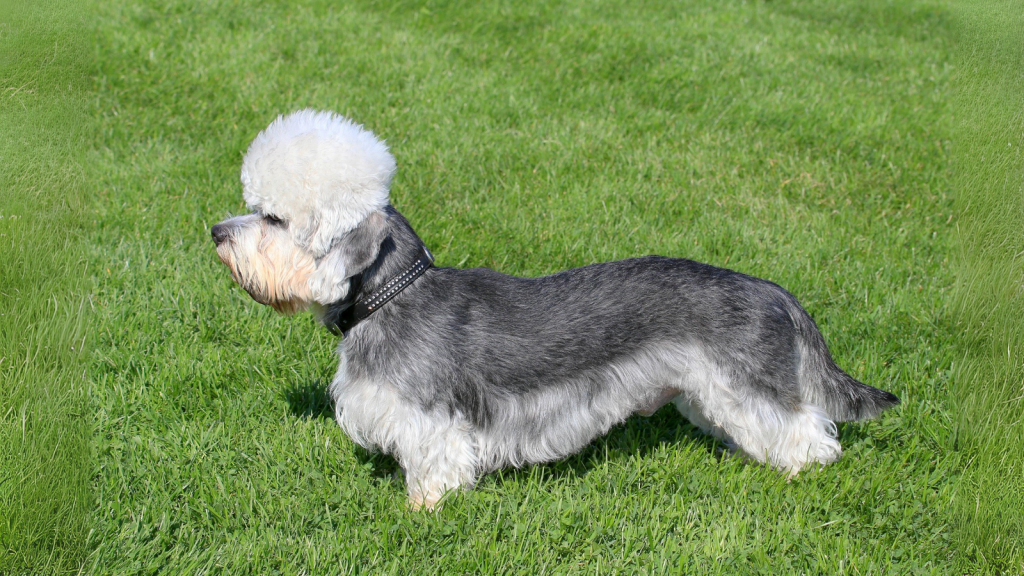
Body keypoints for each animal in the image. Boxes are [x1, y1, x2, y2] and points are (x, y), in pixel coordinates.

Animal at [211, 108, 901, 506]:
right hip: (708, 392)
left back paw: (799, 474)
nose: (216, 232)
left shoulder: (430, 423)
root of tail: (773, 290)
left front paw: (422, 512)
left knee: (810, 434)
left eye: (273, 219)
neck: (393, 297)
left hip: (747, 386)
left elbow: (433, 472)